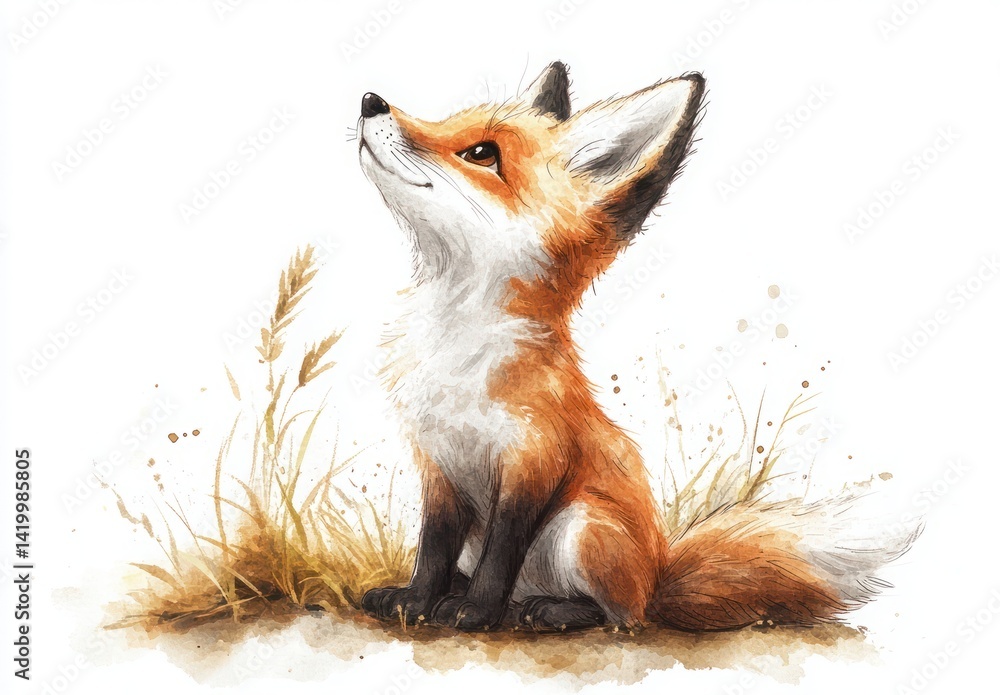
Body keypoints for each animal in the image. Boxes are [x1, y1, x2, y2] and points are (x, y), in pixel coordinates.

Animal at [355, 62, 918, 633]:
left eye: (481, 153)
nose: (370, 101)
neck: (454, 351)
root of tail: (656, 576)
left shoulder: (533, 462)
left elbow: (501, 553)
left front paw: (475, 611)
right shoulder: (439, 465)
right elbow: (432, 550)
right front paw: (416, 601)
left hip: (581, 529)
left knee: (619, 616)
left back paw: (549, 611)